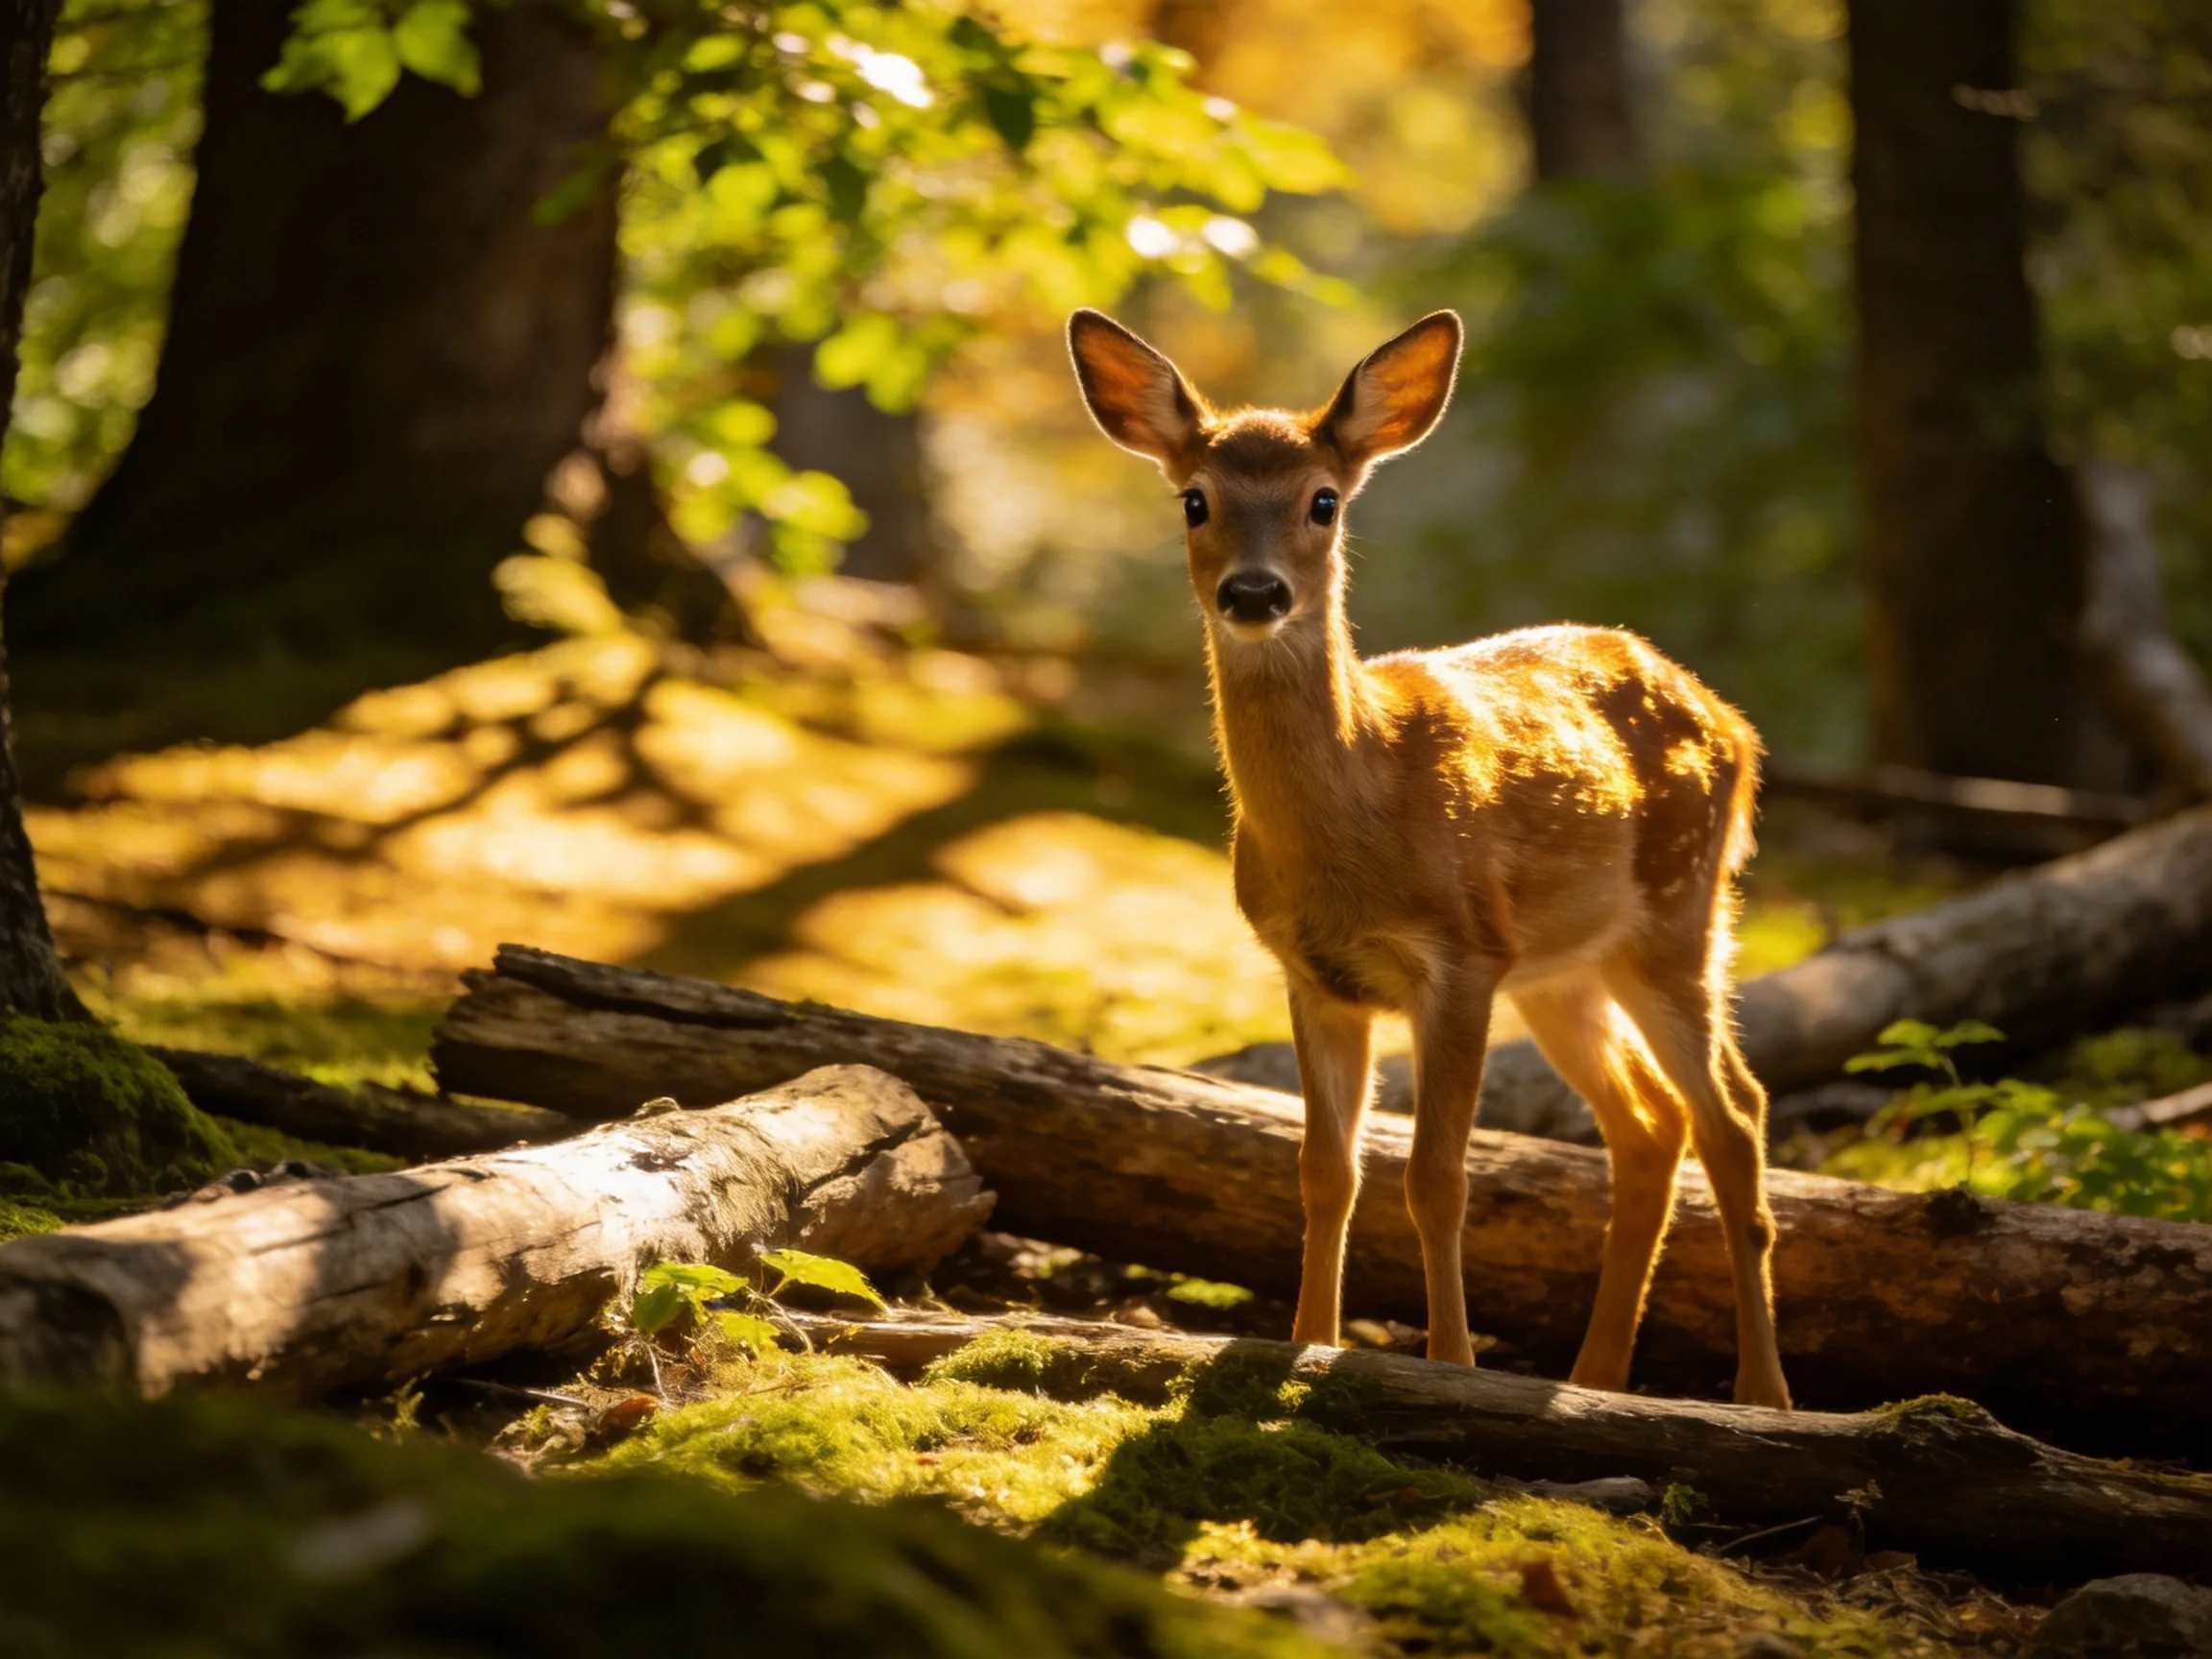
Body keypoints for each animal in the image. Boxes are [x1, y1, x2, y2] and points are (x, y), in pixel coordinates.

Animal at [1066, 307, 1791, 1408]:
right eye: (1196, 499)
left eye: (1323, 501)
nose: (1254, 592)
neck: (1356, 812)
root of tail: (1736, 726)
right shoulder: (1313, 974)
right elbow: (1326, 1170)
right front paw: (1307, 1346)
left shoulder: (1460, 957)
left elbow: (1437, 1178)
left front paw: (1450, 1367)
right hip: (1565, 969)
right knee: (1650, 1122)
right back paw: (1598, 1377)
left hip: (1680, 911)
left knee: (1734, 1116)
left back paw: (1762, 1395)